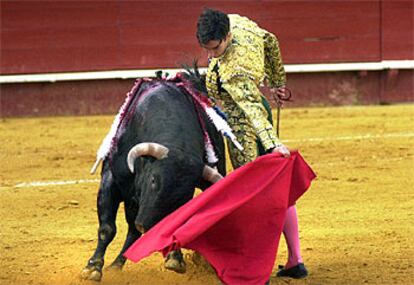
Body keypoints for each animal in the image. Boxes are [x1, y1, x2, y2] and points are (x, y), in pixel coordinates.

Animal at [80, 69, 226, 280]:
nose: (148, 226)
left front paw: (176, 258)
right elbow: (107, 229)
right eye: (153, 180)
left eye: (185, 197)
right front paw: (93, 267)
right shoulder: (110, 180)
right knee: (132, 230)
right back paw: (115, 265)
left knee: (133, 231)